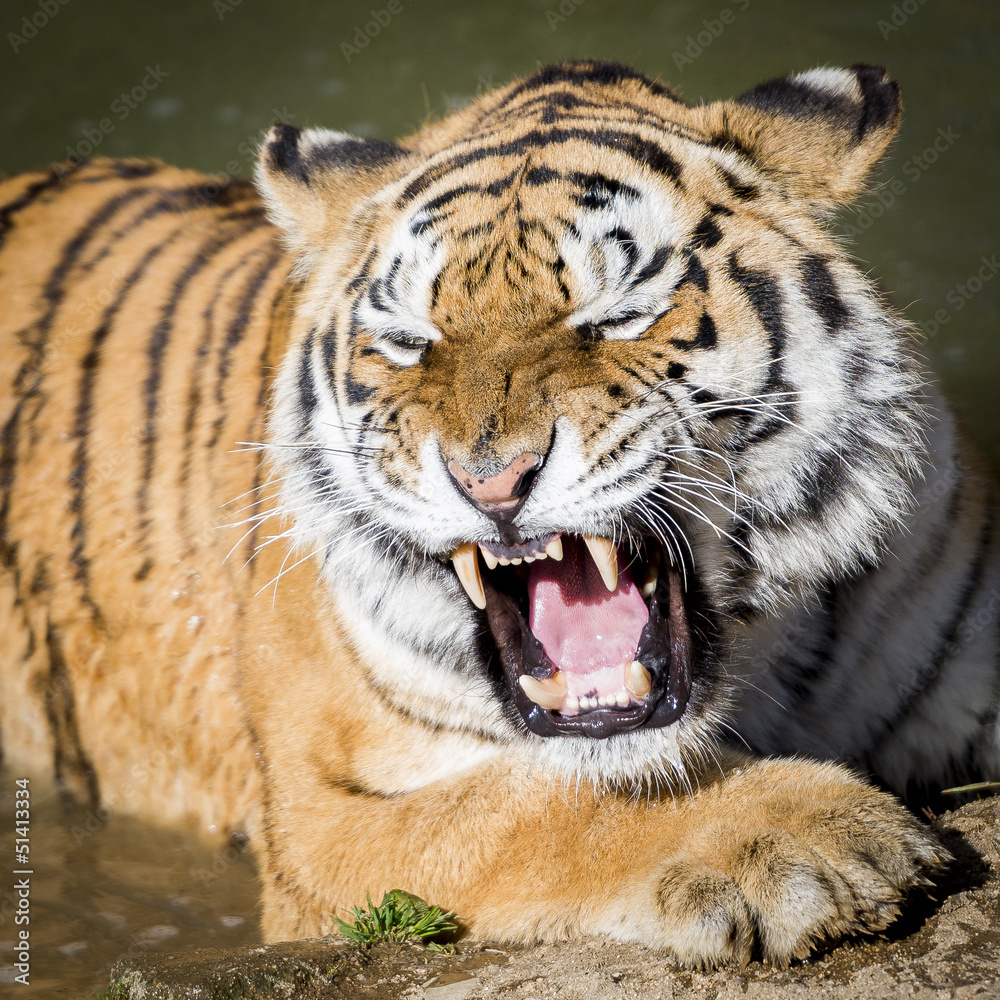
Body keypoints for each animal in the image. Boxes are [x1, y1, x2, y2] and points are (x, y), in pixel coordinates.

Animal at [1, 59, 997, 967]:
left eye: (620, 313)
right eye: (410, 342)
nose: (491, 480)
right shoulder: (324, 823)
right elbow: (530, 804)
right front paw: (814, 837)